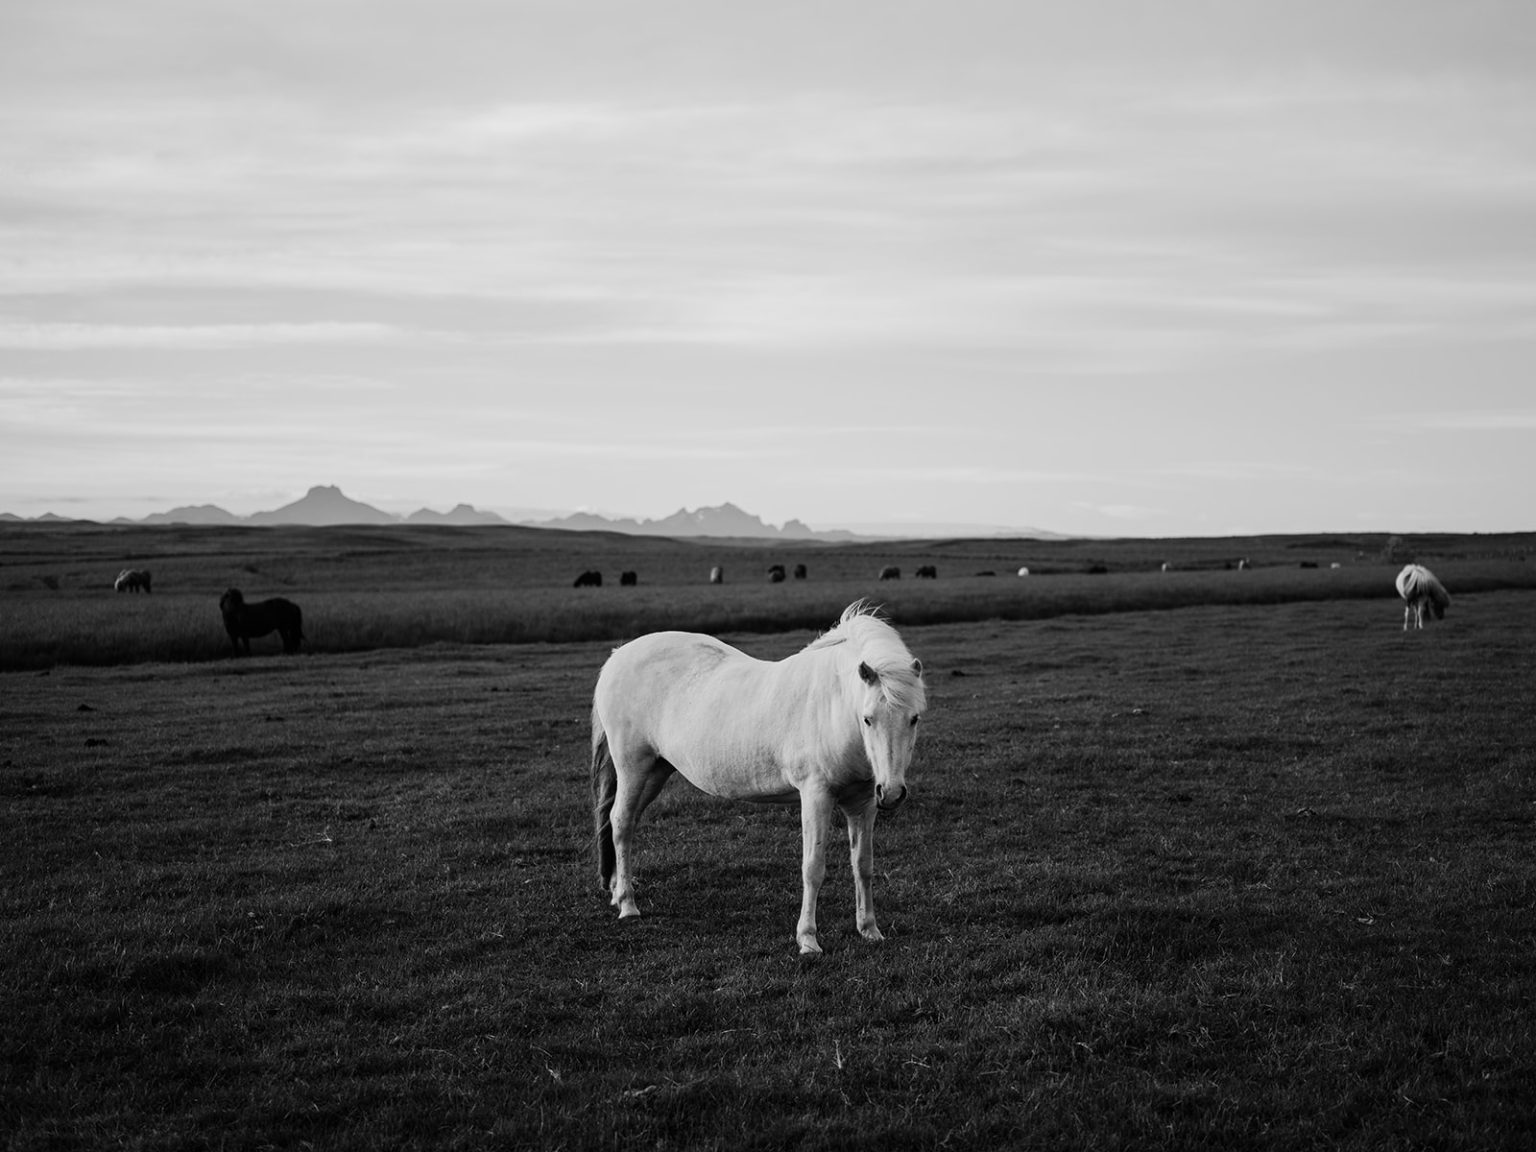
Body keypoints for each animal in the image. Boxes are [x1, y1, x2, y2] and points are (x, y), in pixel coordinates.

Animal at [590, 600, 926, 954]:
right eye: (868, 719)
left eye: (914, 718)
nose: (892, 793)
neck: (833, 704)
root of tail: (618, 655)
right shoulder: (816, 795)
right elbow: (813, 868)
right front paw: (808, 939)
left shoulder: (863, 802)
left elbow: (863, 865)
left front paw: (869, 929)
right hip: (633, 768)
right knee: (621, 822)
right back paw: (628, 904)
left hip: (654, 772)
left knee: (622, 822)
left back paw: (617, 891)